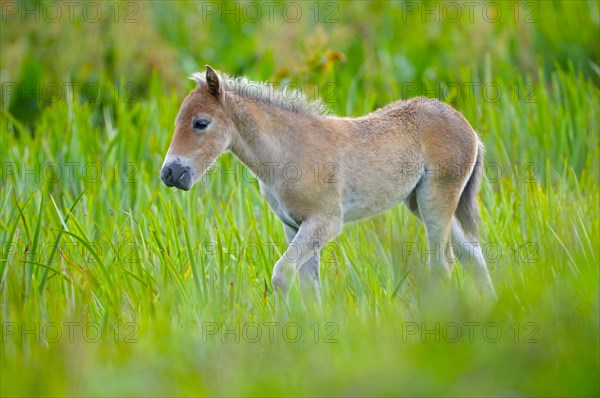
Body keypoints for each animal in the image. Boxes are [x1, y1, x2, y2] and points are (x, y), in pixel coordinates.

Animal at [162, 66, 494, 302]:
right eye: (177, 121)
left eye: (200, 123)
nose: (170, 173)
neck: (286, 152)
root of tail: (468, 127)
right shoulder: (294, 225)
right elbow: (310, 286)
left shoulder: (325, 222)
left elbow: (282, 274)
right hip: (419, 204)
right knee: (472, 256)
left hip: (436, 200)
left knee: (443, 264)